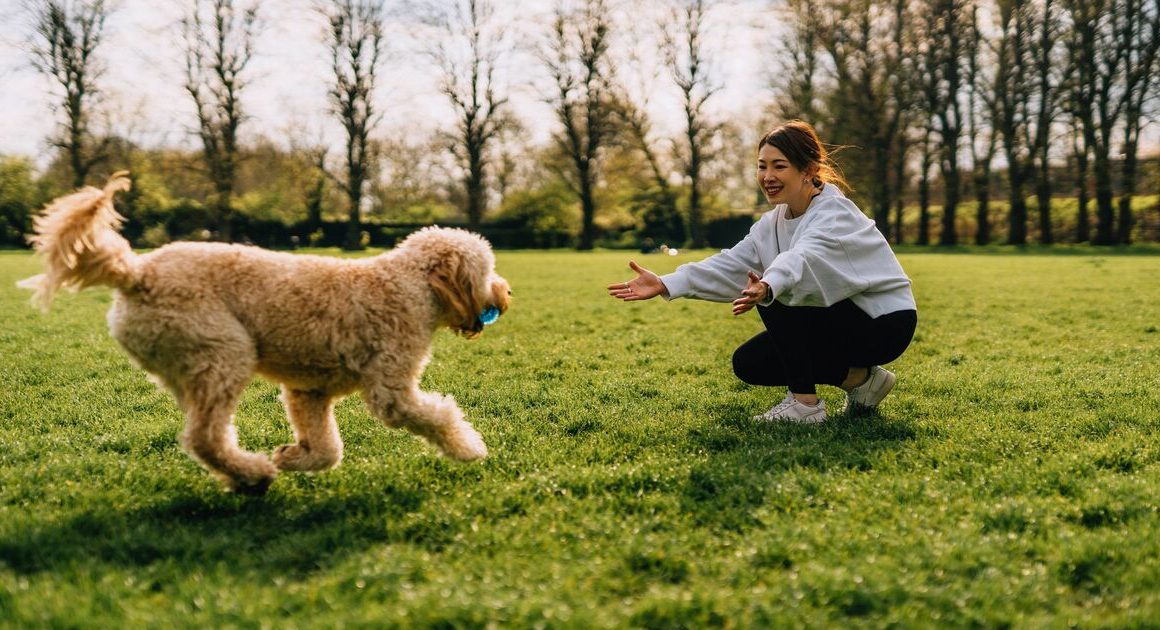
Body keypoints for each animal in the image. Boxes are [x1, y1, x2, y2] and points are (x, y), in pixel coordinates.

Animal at [21, 171, 512, 491]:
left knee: (203, 437)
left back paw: (244, 476)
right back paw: (253, 474)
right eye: (487, 270)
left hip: (189, 368)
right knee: (205, 437)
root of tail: (136, 273)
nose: (506, 294)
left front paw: (294, 457)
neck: (408, 285)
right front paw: (468, 448)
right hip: (223, 353)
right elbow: (438, 415)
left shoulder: (309, 392)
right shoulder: (390, 389)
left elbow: (327, 448)